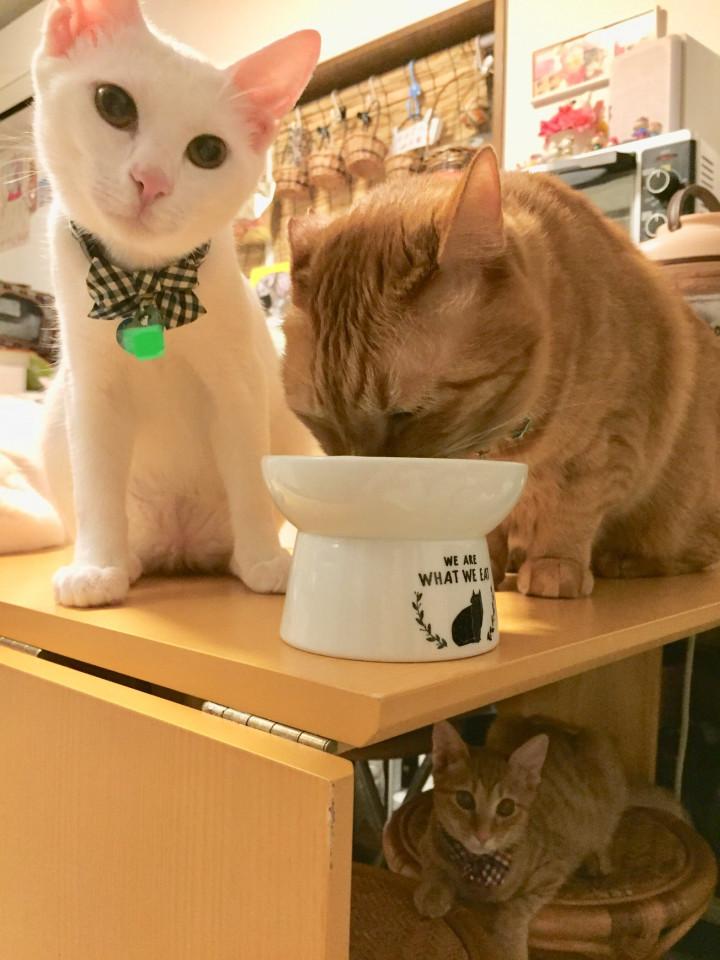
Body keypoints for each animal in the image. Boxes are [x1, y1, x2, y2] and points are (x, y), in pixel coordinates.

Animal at [32, 0, 320, 607]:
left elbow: (250, 476)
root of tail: (179, 541)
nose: (152, 180)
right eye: (113, 104)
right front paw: (97, 566)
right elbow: (96, 484)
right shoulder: (91, 392)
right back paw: (126, 561)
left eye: (208, 151)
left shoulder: (238, 385)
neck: (146, 283)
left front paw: (264, 559)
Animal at [282, 146, 720, 599]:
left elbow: (573, 509)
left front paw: (556, 563)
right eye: (319, 421)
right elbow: (487, 530)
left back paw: (618, 560)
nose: (363, 477)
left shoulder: (610, 442)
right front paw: (489, 565)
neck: (505, 443)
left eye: (406, 414)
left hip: (675, 513)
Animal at [414, 717, 627, 960]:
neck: (480, 866)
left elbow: (516, 908)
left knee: (603, 841)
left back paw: (598, 863)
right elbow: (435, 866)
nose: (482, 835)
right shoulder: (427, 840)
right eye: (464, 799)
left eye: (506, 807)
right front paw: (433, 893)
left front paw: (509, 943)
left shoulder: (554, 869)